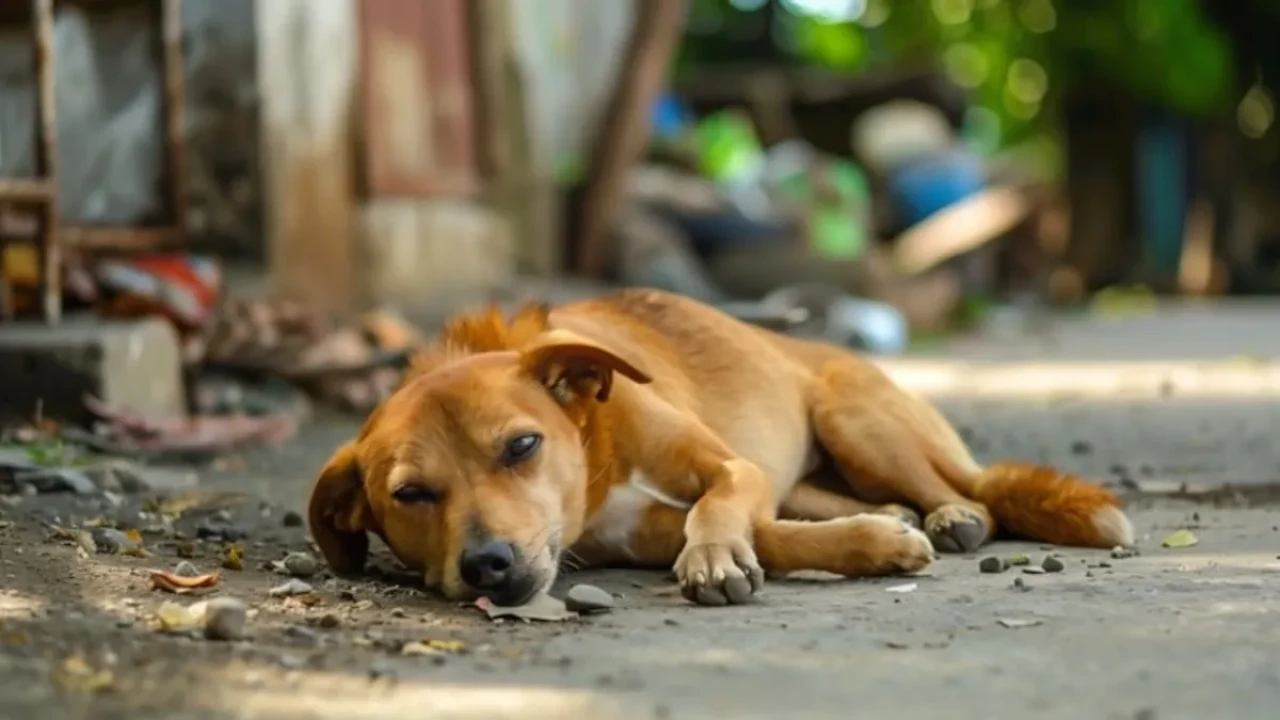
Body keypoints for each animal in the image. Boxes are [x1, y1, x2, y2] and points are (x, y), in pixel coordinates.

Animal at [307, 288, 1131, 602]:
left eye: (521, 446)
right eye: (410, 495)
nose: (488, 566)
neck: (597, 450)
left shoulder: (732, 468)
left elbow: (719, 509)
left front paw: (711, 557)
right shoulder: (637, 533)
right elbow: (772, 535)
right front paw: (873, 542)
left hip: (855, 419)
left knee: (969, 492)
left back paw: (950, 515)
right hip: (818, 467)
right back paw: (898, 516)